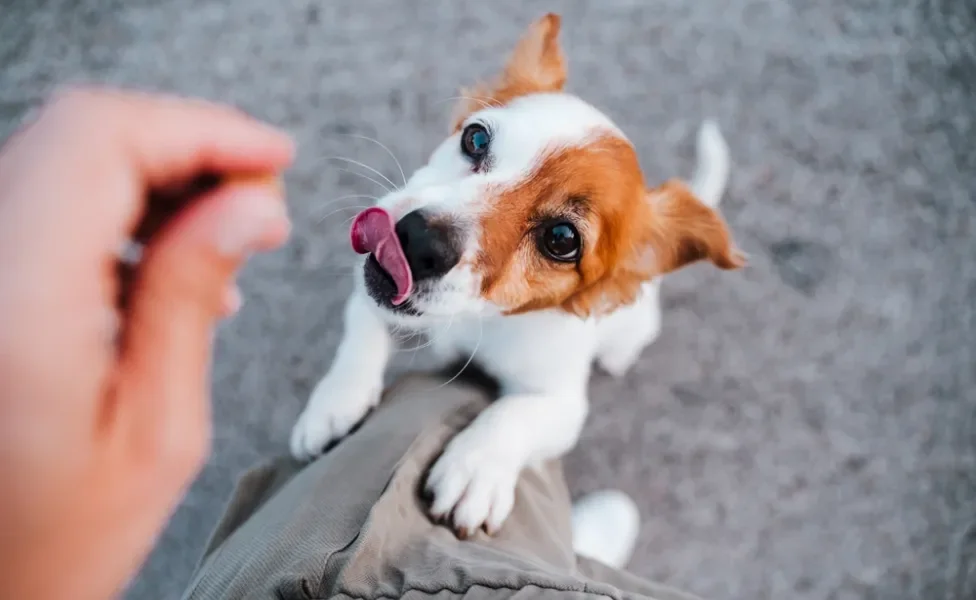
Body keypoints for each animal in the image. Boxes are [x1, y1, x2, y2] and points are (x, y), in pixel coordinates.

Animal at [288, 14, 740, 536]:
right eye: (475, 138)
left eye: (561, 239)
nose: (417, 241)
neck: (475, 318)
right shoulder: (371, 295)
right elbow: (360, 334)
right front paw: (334, 403)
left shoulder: (563, 404)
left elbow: (516, 413)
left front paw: (475, 467)